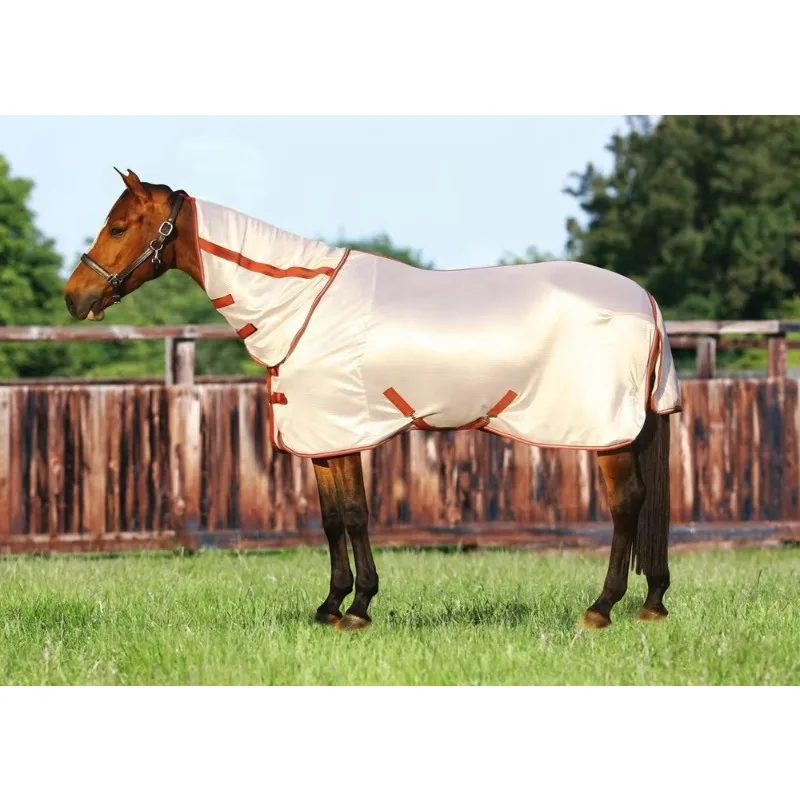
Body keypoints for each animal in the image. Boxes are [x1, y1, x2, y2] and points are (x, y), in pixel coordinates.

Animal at [64, 168, 682, 631]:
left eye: (118, 227)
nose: (75, 297)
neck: (302, 303)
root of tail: (645, 300)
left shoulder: (342, 429)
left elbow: (356, 514)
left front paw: (359, 609)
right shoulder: (322, 440)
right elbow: (333, 518)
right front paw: (331, 606)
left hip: (610, 434)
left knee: (626, 505)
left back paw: (601, 609)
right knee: (646, 505)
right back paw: (651, 604)